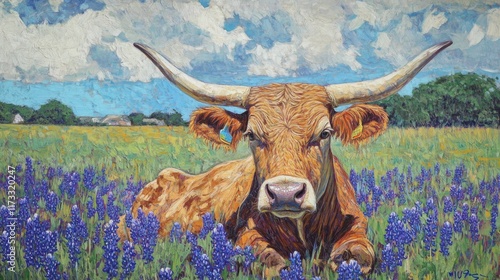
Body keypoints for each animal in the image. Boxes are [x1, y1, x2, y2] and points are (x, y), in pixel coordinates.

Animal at [118, 40, 454, 274]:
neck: (302, 230)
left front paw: (340, 260)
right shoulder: (245, 235)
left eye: (325, 133)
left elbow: (359, 255)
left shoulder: (358, 228)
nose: (285, 194)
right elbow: (268, 261)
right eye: (251, 135)